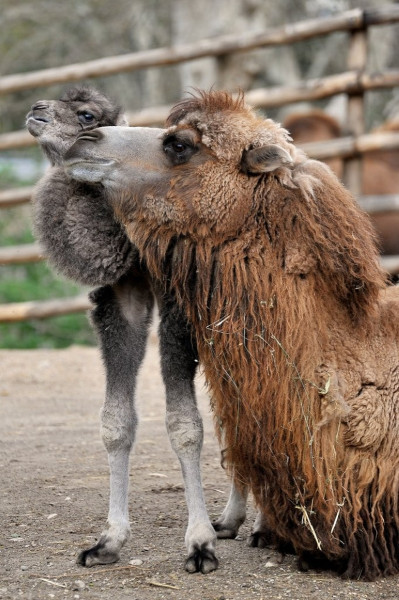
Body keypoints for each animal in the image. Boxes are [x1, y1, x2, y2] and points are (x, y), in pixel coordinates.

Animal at [25, 88, 219, 572]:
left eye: (87, 114)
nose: (36, 110)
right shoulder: (122, 295)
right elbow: (116, 421)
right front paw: (108, 540)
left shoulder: (179, 305)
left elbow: (185, 424)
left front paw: (200, 543)